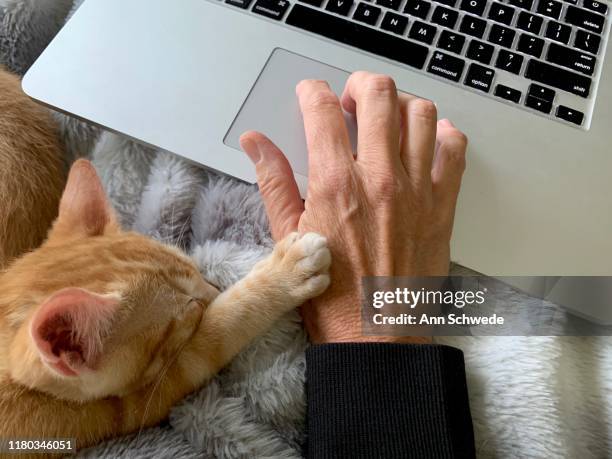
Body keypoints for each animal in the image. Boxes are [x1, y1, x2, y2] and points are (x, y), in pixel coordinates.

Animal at [0, 160, 330, 458]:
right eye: (189, 311)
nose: (214, 290)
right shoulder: (138, 403)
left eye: (195, 268)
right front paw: (284, 274)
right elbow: (221, 328)